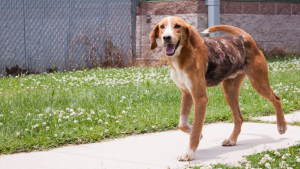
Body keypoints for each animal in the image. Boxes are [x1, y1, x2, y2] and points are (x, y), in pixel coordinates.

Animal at [149, 16, 288, 161]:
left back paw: (281, 126)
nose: (166, 37)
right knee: (239, 118)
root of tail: (244, 36)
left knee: (276, 99)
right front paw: (197, 134)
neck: (181, 57)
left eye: (177, 26)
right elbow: (182, 124)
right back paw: (232, 139)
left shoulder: (200, 98)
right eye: (162, 27)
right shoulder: (187, 94)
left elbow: (196, 128)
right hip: (229, 91)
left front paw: (189, 153)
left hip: (259, 82)